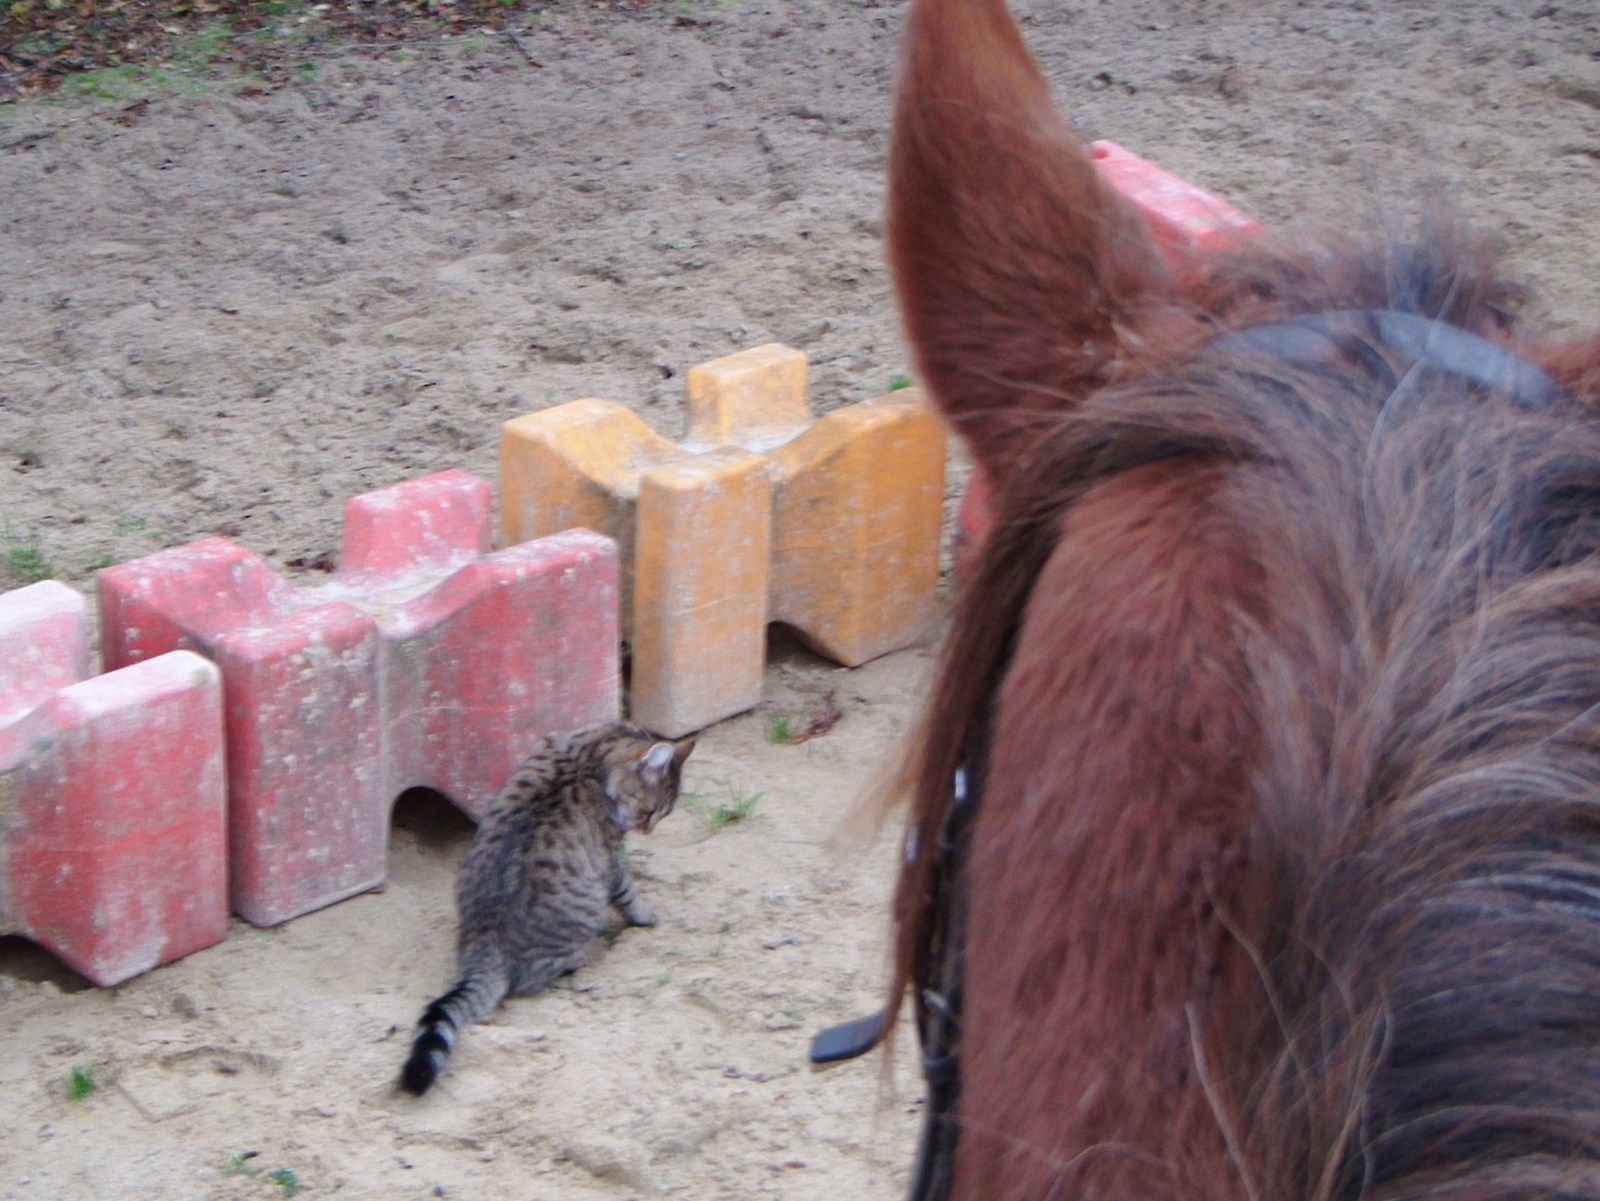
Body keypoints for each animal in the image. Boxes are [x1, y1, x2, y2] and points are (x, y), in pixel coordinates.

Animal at [400, 721, 695, 1096]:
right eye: (652, 810)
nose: (647, 829)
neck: (590, 757)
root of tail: (486, 947)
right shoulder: (611, 859)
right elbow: (628, 894)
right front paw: (646, 914)